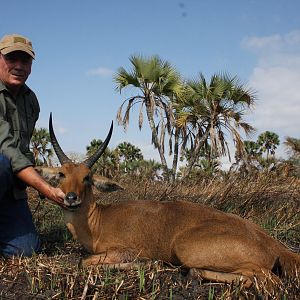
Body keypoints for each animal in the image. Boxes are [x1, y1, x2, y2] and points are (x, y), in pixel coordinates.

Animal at [38, 113, 300, 288]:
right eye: (61, 174)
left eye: (87, 177)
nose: (71, 198)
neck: (97, 222)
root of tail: (275, 244)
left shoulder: (124, 250)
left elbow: (84, 262)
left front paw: (145, 264)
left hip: (184, 247)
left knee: (266, 277)